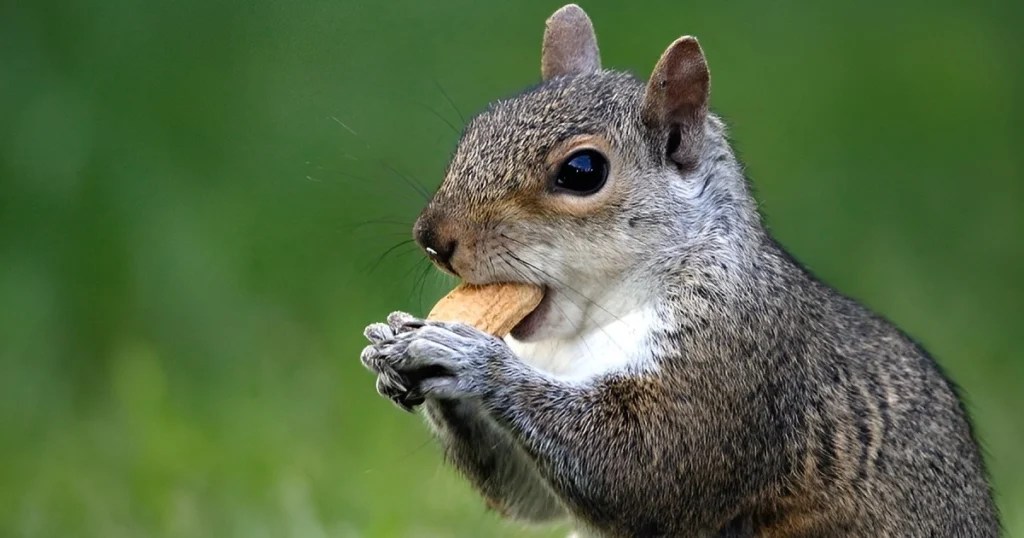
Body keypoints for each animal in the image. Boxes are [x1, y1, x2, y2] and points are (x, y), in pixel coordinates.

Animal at [360, 4, 999, 536]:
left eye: (583, 171)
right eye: (476, 128)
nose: (432, 239)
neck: (587, 332)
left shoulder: (735, 366)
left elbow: (640, 469)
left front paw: (468, 357)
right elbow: (531, 500)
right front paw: (392, 342)